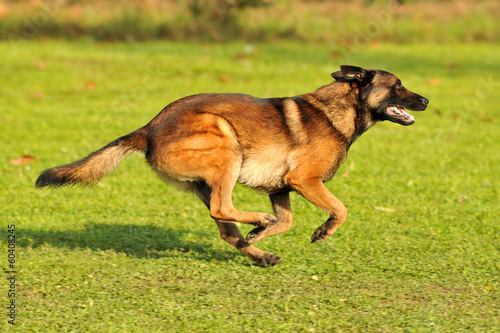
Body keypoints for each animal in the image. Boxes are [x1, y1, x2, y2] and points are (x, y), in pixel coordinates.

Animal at [36, 65, 426, 266]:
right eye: (398, 85)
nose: (425, 100)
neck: (340, 109)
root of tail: (148, 129)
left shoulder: (282, 187)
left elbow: (287, 220)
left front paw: (262, 234)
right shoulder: (304, 180)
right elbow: (340, 209)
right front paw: (322, 231)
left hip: (208, 179)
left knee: (225, 226)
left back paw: (259, 252)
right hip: (227, 147)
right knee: (221, 207)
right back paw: (259, 224)